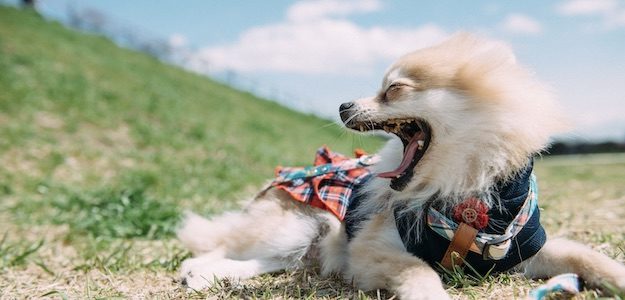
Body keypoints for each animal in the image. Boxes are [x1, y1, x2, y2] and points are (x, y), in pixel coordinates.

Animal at [177, 33, 624, 300]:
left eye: (393, 89)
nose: (342, 105)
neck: (463, 194)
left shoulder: (520, 247)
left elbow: (588, 257)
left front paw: (616, 278)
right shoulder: (370, 250)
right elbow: (420, 273)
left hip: (302, 247)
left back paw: (212, 277)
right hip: (298, 228)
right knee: (219, 245)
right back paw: (196, 271)